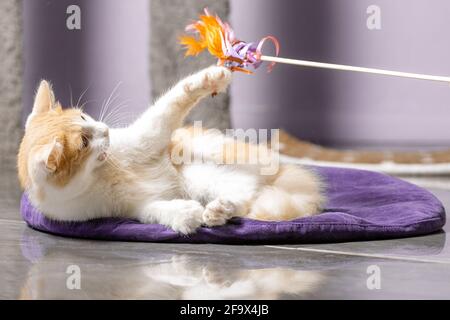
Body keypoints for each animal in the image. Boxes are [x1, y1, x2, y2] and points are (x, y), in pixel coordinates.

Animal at [15, 65, 322, 235]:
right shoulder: (121, 209)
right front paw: (184, 215)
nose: (106, 130)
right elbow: (153, 211)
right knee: (246, 194)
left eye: (82, 116)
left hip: (199, 171)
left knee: (247, 188)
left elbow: (170, 104)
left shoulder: (146, 136)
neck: (100, 173)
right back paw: (218, 211)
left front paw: (211, 79)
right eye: (83, 142)